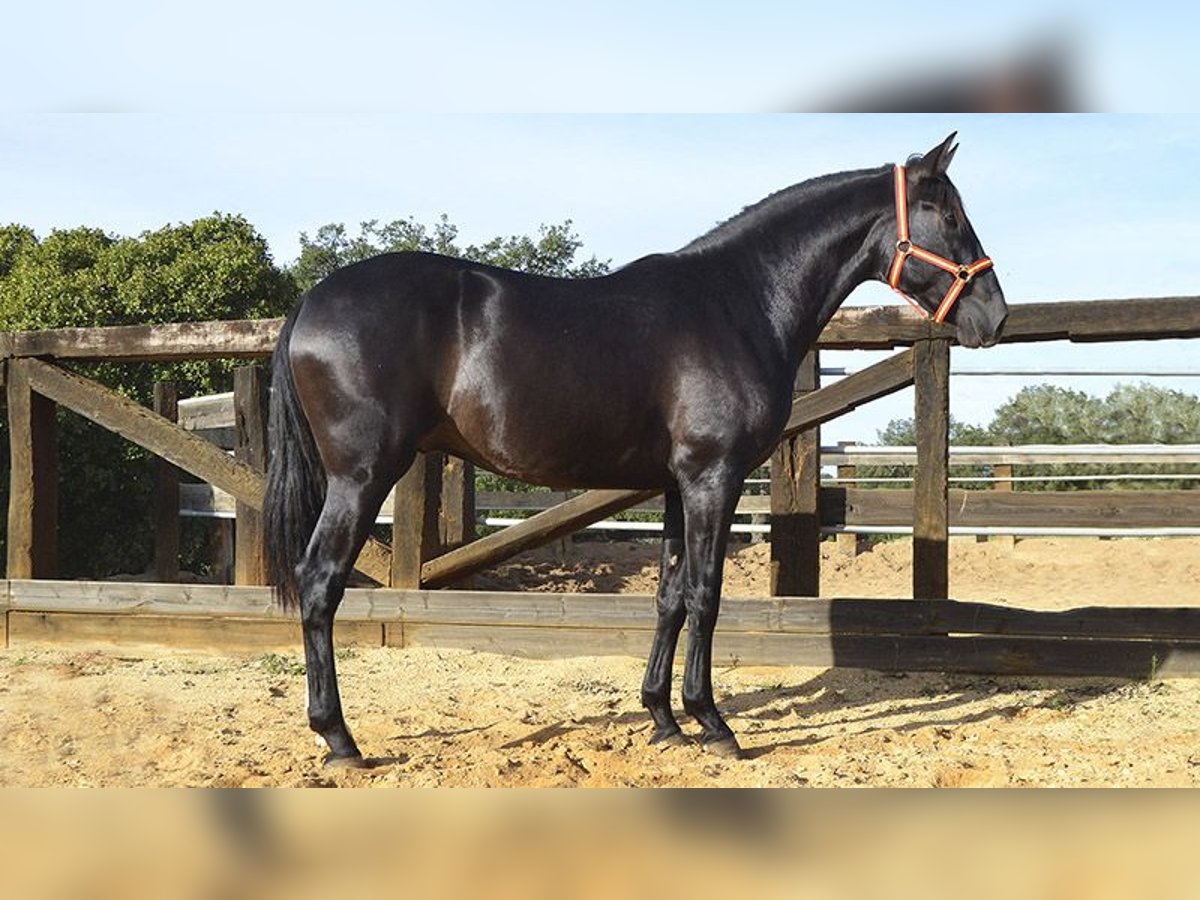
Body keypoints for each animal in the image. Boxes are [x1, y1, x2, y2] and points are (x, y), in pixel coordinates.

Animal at [267, 135, 1008, 768]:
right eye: (948, 215)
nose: (995, 316)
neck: (738, 303)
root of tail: (310, 302)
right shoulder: (714, 477)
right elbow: (706, 592)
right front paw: (712, 722)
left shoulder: (678, 483)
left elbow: (670, 594)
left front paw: (663, 718)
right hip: (362, 477)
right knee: (319, 581)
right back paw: (339, 738)